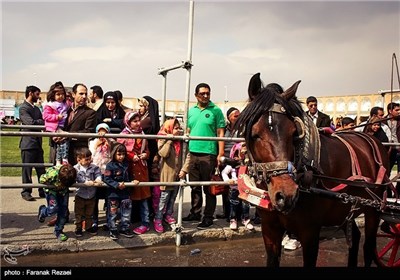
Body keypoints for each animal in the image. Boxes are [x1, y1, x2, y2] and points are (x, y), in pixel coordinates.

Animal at [236, 72, 392, 266]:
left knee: (369, 247)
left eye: (294, 133)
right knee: (355, 237)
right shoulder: (270, 230)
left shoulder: (309, 231)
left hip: (374, 208)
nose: (286, 194)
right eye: (255, 134)